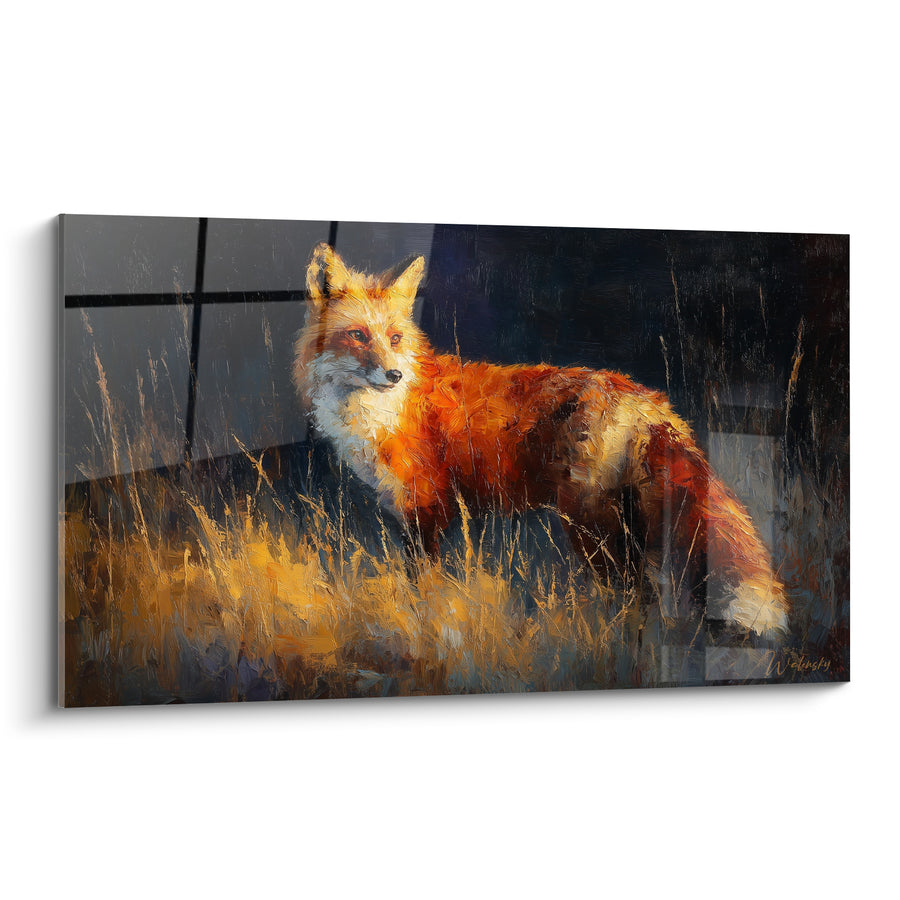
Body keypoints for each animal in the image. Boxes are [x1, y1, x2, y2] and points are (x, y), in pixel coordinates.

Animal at [293, 243, 789, 639]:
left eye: (395, 338)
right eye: (358, 335)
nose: (393, 374)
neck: (382, 413)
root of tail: (645, 397)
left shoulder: (425, 505)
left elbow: (424, 586)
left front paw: (424, 626)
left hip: (590, 525)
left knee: (632, 591)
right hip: (629, 523)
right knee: (650, 591)